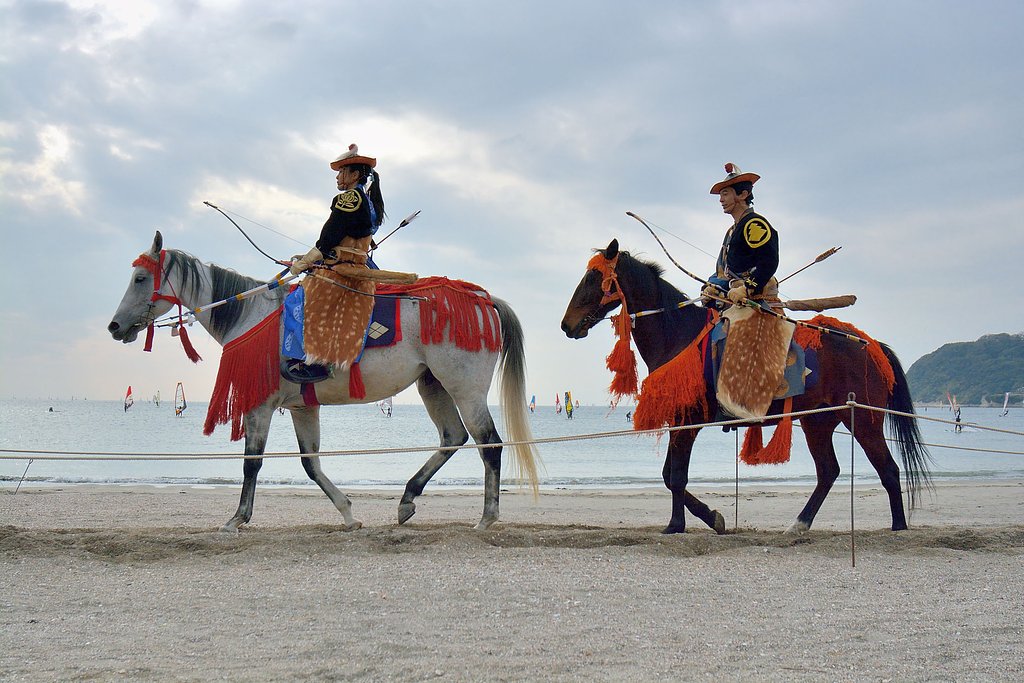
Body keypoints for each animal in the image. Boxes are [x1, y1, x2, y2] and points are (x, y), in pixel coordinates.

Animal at [108, 231, 539, 532]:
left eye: (141, 278)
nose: (114, 326)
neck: (251, 313)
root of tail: (485, 300)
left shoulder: (260, 406)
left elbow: (252, 462)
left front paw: (238, 518)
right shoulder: (303, 407)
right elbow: (311, 464)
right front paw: (348, 514)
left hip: (465, 388)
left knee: (489, 444)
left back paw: (486, 516)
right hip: (432, 385)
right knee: (453, 437)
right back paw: (407, 498)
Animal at [560, 239, 931, 534]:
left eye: (593, 278)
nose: (567, 325)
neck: (678, 333)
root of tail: (872, 345)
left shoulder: (689, 421)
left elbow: (675, 475)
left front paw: (680, 524)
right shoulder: (680, 420)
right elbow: (669, 475)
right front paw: (705, 518)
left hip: (865, 420)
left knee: (888, 469)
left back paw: (898, 528)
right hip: (818, 420)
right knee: (829, 471)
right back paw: (799, 525)